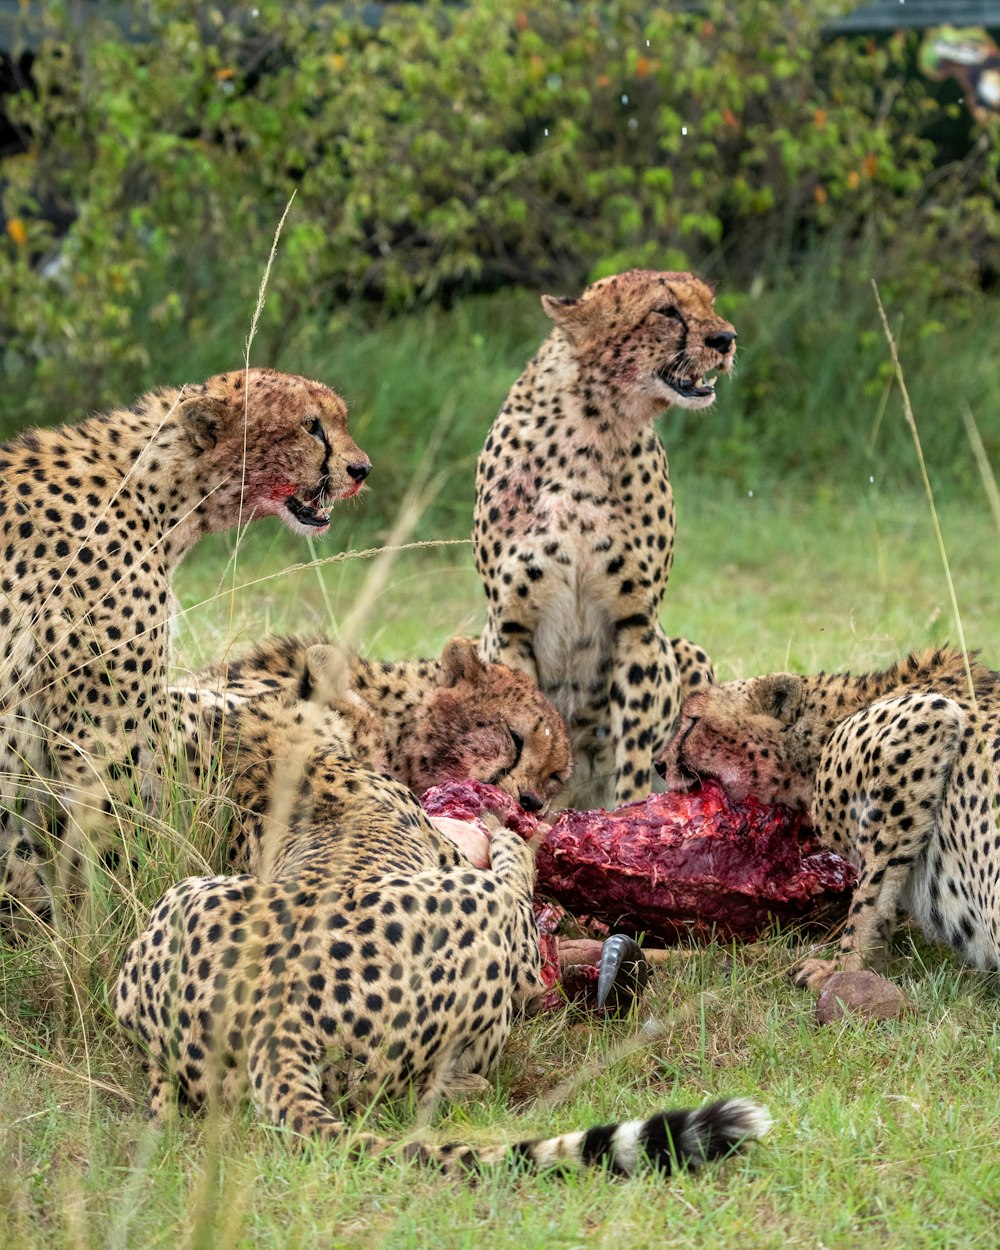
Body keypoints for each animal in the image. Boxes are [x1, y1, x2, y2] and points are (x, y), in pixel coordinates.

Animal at [0, 367, 370, 930]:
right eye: (310, 426)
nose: (362, 469)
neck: (153, 489)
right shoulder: (97, 737)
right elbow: (107, 851)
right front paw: (108, 929)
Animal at [472, 266, 730, 810]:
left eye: (709, 303)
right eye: (665, 310)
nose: (726, 338)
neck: (594, 428)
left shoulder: (636, 624)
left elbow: (632, 753)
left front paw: (627, 818)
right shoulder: (509, 627)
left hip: (686, 650)